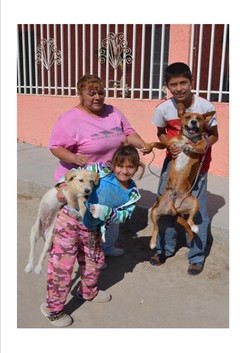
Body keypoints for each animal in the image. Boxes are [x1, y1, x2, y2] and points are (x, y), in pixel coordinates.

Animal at [147, 103, 216, 249]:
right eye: (188, 117)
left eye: (199, 118)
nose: (194, 122)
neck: (188, 138)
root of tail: (175, 208)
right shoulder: (168, 144)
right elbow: (156, 143)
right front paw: (147, 147)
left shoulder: (202, 147)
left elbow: (194, 146)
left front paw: (187, 147)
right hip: (155, 211)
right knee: (156, 228)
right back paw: (153, 242)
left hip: (194, 202)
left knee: (190, 221)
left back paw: (194, 227)